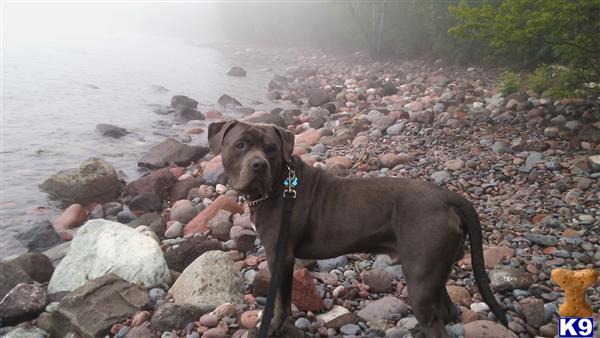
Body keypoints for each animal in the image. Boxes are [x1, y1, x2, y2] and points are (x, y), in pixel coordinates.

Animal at [209, 121, 508, 338]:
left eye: (271, 149)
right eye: (240, 145)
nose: (258, 164)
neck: (279, 185)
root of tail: (448, 196)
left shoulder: (280, 257)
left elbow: (281, 303)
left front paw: (271, 328)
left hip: (421, 275)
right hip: (434, 271)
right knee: (446, 310)